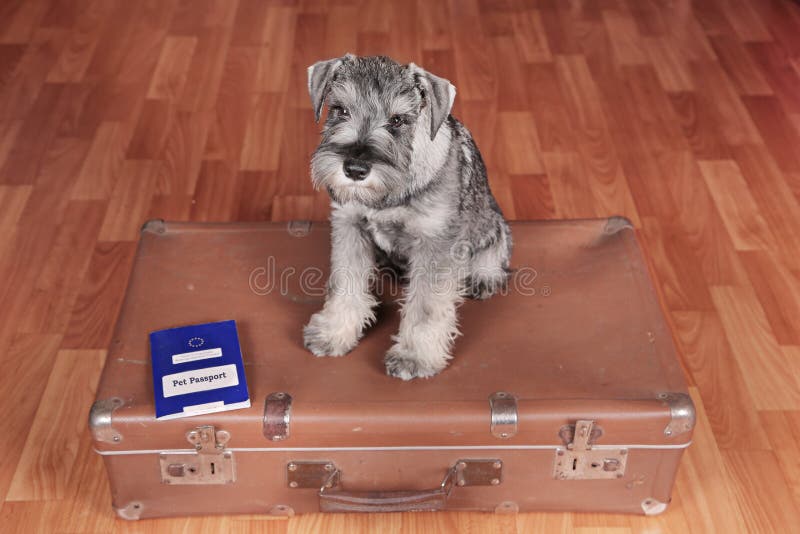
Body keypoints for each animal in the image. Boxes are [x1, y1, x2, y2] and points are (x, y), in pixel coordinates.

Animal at [300, 54, 512, 382]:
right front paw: (333, 333)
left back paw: (484, 276)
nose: (355, 169)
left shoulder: (434, 242)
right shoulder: (349, 225)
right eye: (341, 110)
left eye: (397, 120)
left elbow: (426, 306)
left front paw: (415, 356)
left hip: (490, 224)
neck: (389, 195)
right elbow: (346, 283)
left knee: (495, 244)